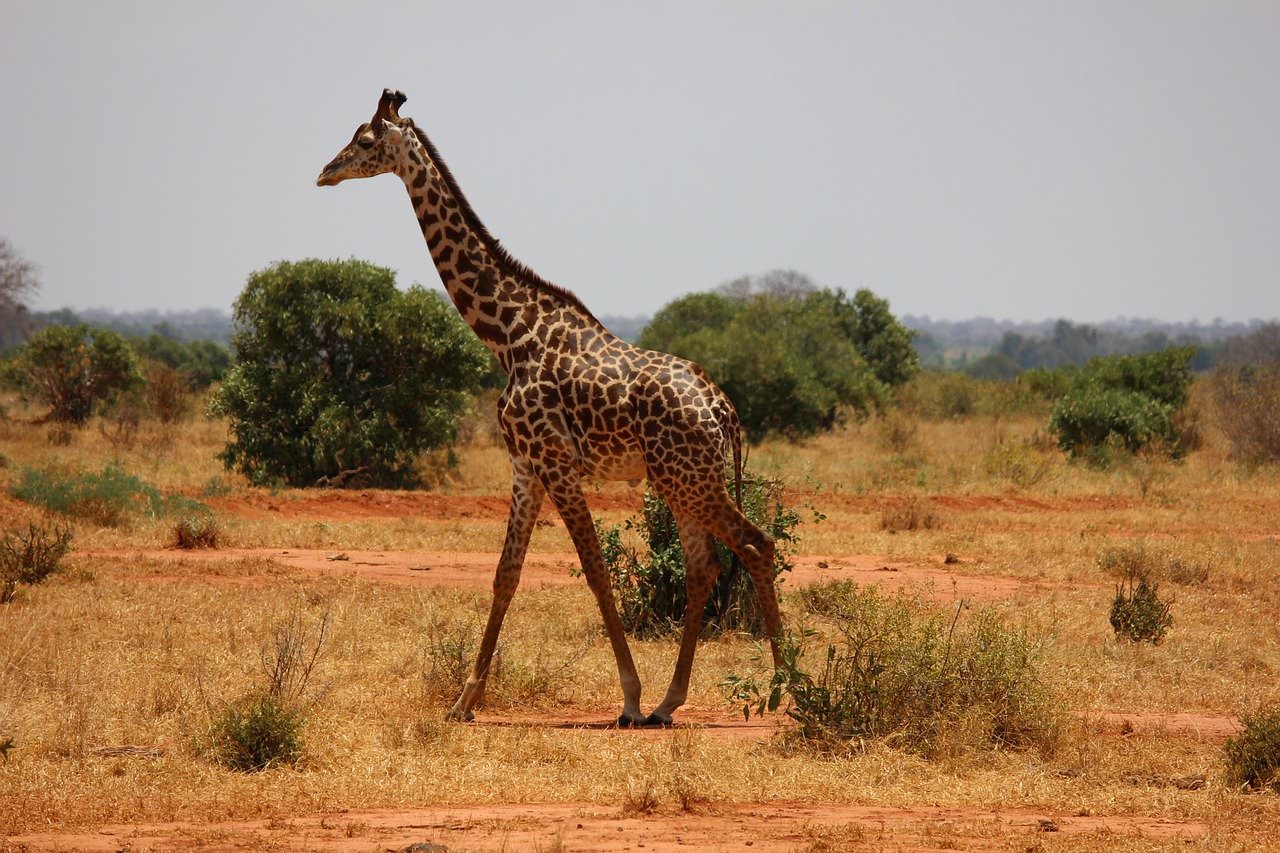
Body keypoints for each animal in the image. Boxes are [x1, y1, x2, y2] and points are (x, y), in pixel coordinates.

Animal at [317, 89, 783, 726]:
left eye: (364, 140)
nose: (324, 172)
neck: (506, 334)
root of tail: (724, 410)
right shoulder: (525, 466)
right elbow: (505, 574)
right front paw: (464, 701)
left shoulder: (557, 462)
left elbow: (596, 569)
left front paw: (628, 697)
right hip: (680, 479)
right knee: (703, 567)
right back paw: (670, 702)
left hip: (693, 480)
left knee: (757, 546)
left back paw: (786, 689)